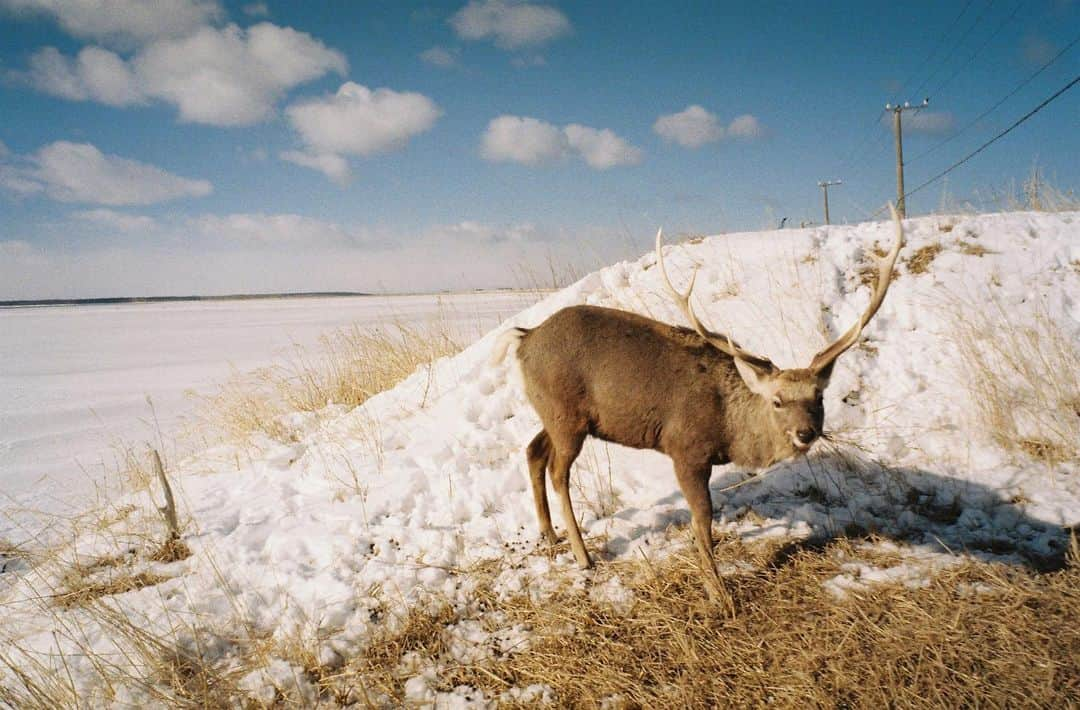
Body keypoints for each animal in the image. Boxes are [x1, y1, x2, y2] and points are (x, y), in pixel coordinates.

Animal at [490, 206, 902, 596]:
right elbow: (702, 516)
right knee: (558, 472)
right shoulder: (685, 448)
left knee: (533, 450)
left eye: (819, 396)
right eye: (777, 401)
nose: (805, 433)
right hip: (565, 415)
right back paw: (583, 556)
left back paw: (549, 535)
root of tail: (525, 338)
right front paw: (717, 590)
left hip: (553, 413)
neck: (730, 430)